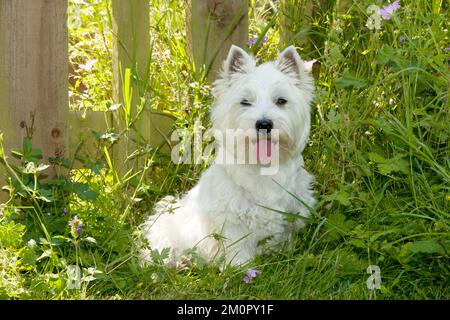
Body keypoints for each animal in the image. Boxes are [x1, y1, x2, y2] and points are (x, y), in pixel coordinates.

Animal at [141, 44, 316, 264]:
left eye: (281, 101)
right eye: (245, 102)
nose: (264, 124)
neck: (263, 168)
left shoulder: (292, 215)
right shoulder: (232, 222)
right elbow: (238, 251)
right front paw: (241, 268)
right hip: (165, 229)